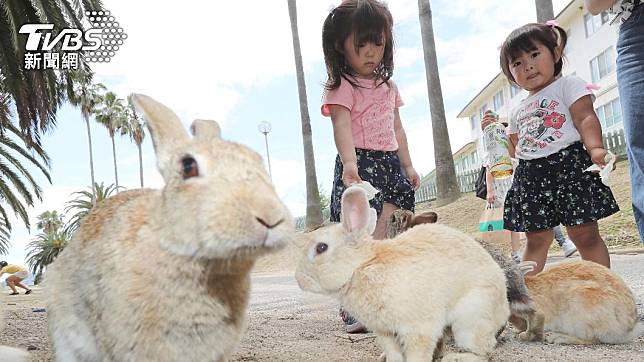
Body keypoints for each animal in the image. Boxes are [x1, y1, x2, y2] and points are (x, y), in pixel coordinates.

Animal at [294, 187, 510, 362]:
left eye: (321, 248)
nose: (299, 278)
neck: (361, 266)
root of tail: (504, 309)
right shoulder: (385, 333)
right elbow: (394, 353)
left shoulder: (418, 328)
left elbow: (417, 354)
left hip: (469, 321)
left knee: (484, 352)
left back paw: (455, 358)